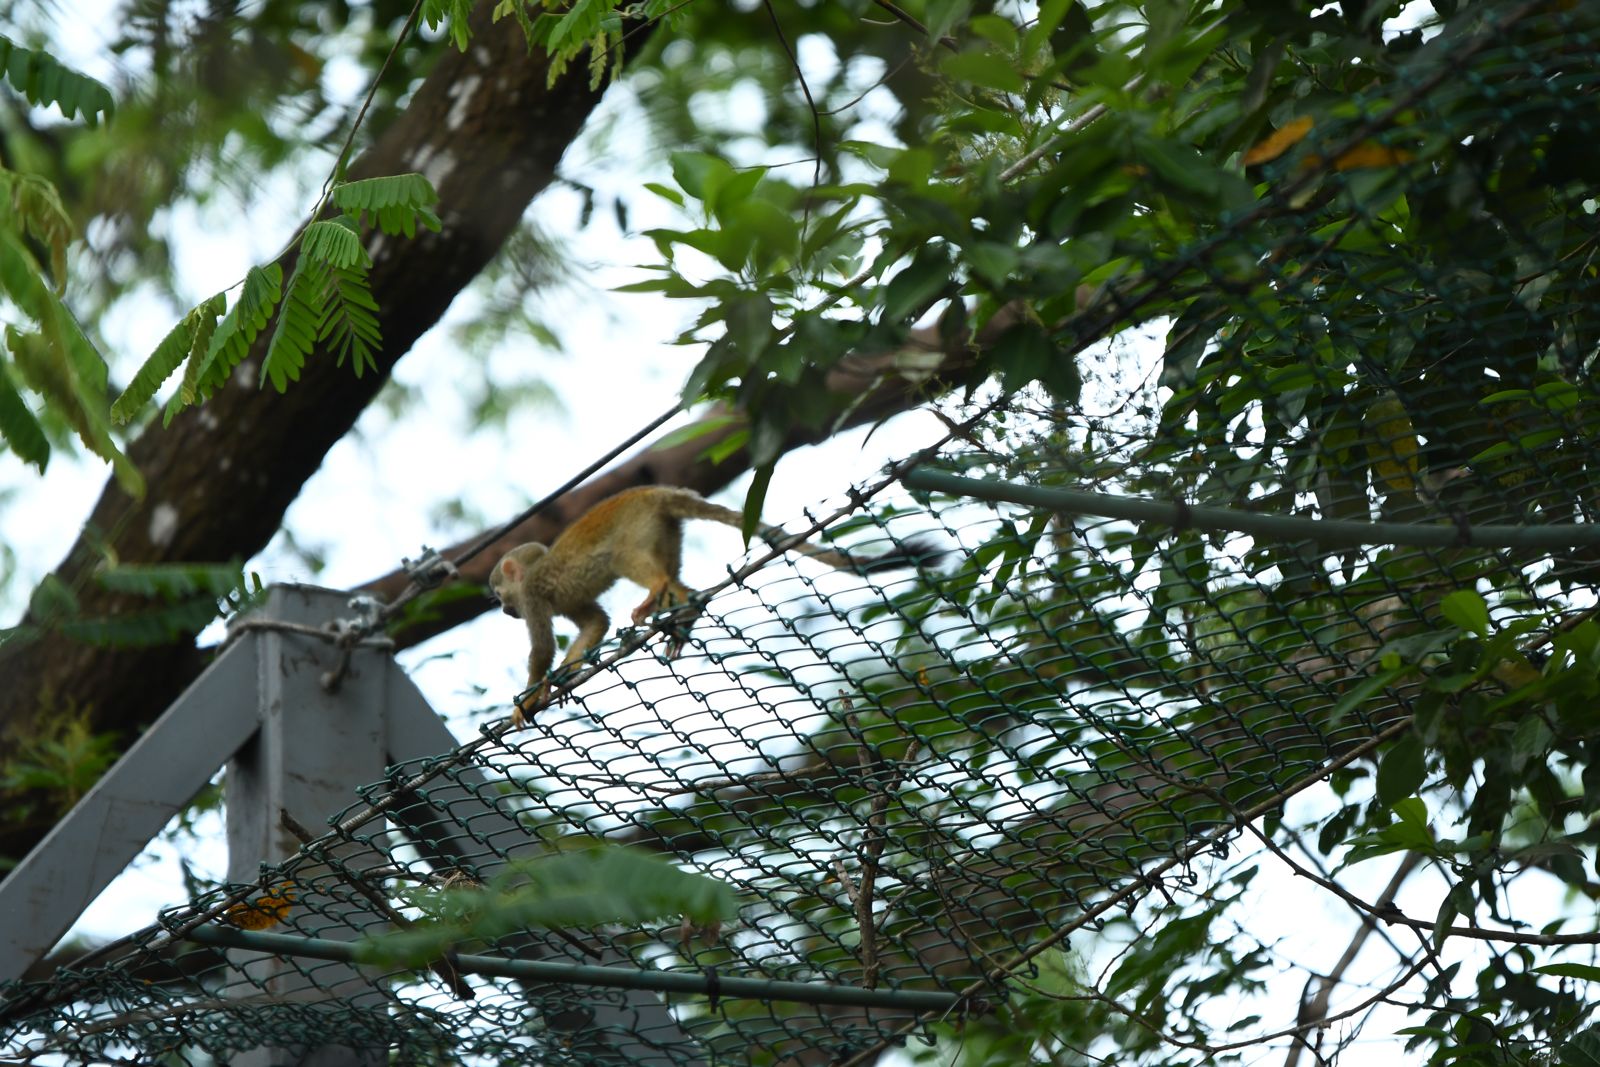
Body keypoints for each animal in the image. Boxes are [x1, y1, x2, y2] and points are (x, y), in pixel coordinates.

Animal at [489, 489, 934, 726]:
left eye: (498, 594)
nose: (504, 610)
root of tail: (653, 492)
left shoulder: (531, 594)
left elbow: (542, 648)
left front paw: (526, 699)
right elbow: (594, 622)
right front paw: (563, 677)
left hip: (638, 524)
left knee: (623, 556)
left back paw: (660, 591)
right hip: (663, 528)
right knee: (670, 574)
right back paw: (686, 607)